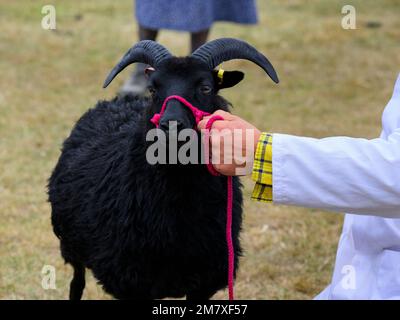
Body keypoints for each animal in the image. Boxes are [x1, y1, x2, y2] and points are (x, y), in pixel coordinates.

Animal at [47, 37, 278, 300]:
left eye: (206, 88)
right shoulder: (132, 281)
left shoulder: (204, 280)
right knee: (76, 283)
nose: (171, 125)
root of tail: (121, 101)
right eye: (153, 89)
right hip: (71, 244)